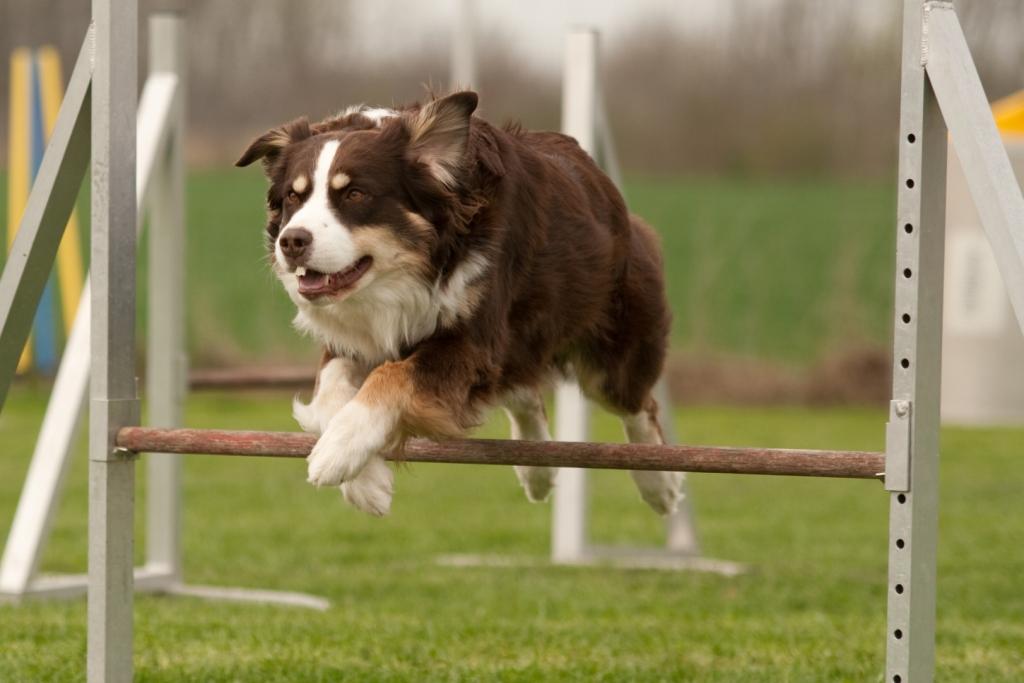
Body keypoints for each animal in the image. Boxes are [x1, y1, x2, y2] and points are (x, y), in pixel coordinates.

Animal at [234, 92, 675, 518]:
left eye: (355, 194)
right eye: (293, 196)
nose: (291, 242)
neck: (411, 273)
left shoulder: (473, 341)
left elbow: (393, 375)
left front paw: (337, 453)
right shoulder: (356, 338)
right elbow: (329, 389)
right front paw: (366, 483)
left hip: (609, 353)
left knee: (639, 404)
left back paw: (659, 484)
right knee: (523, 392)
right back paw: (537, 472)